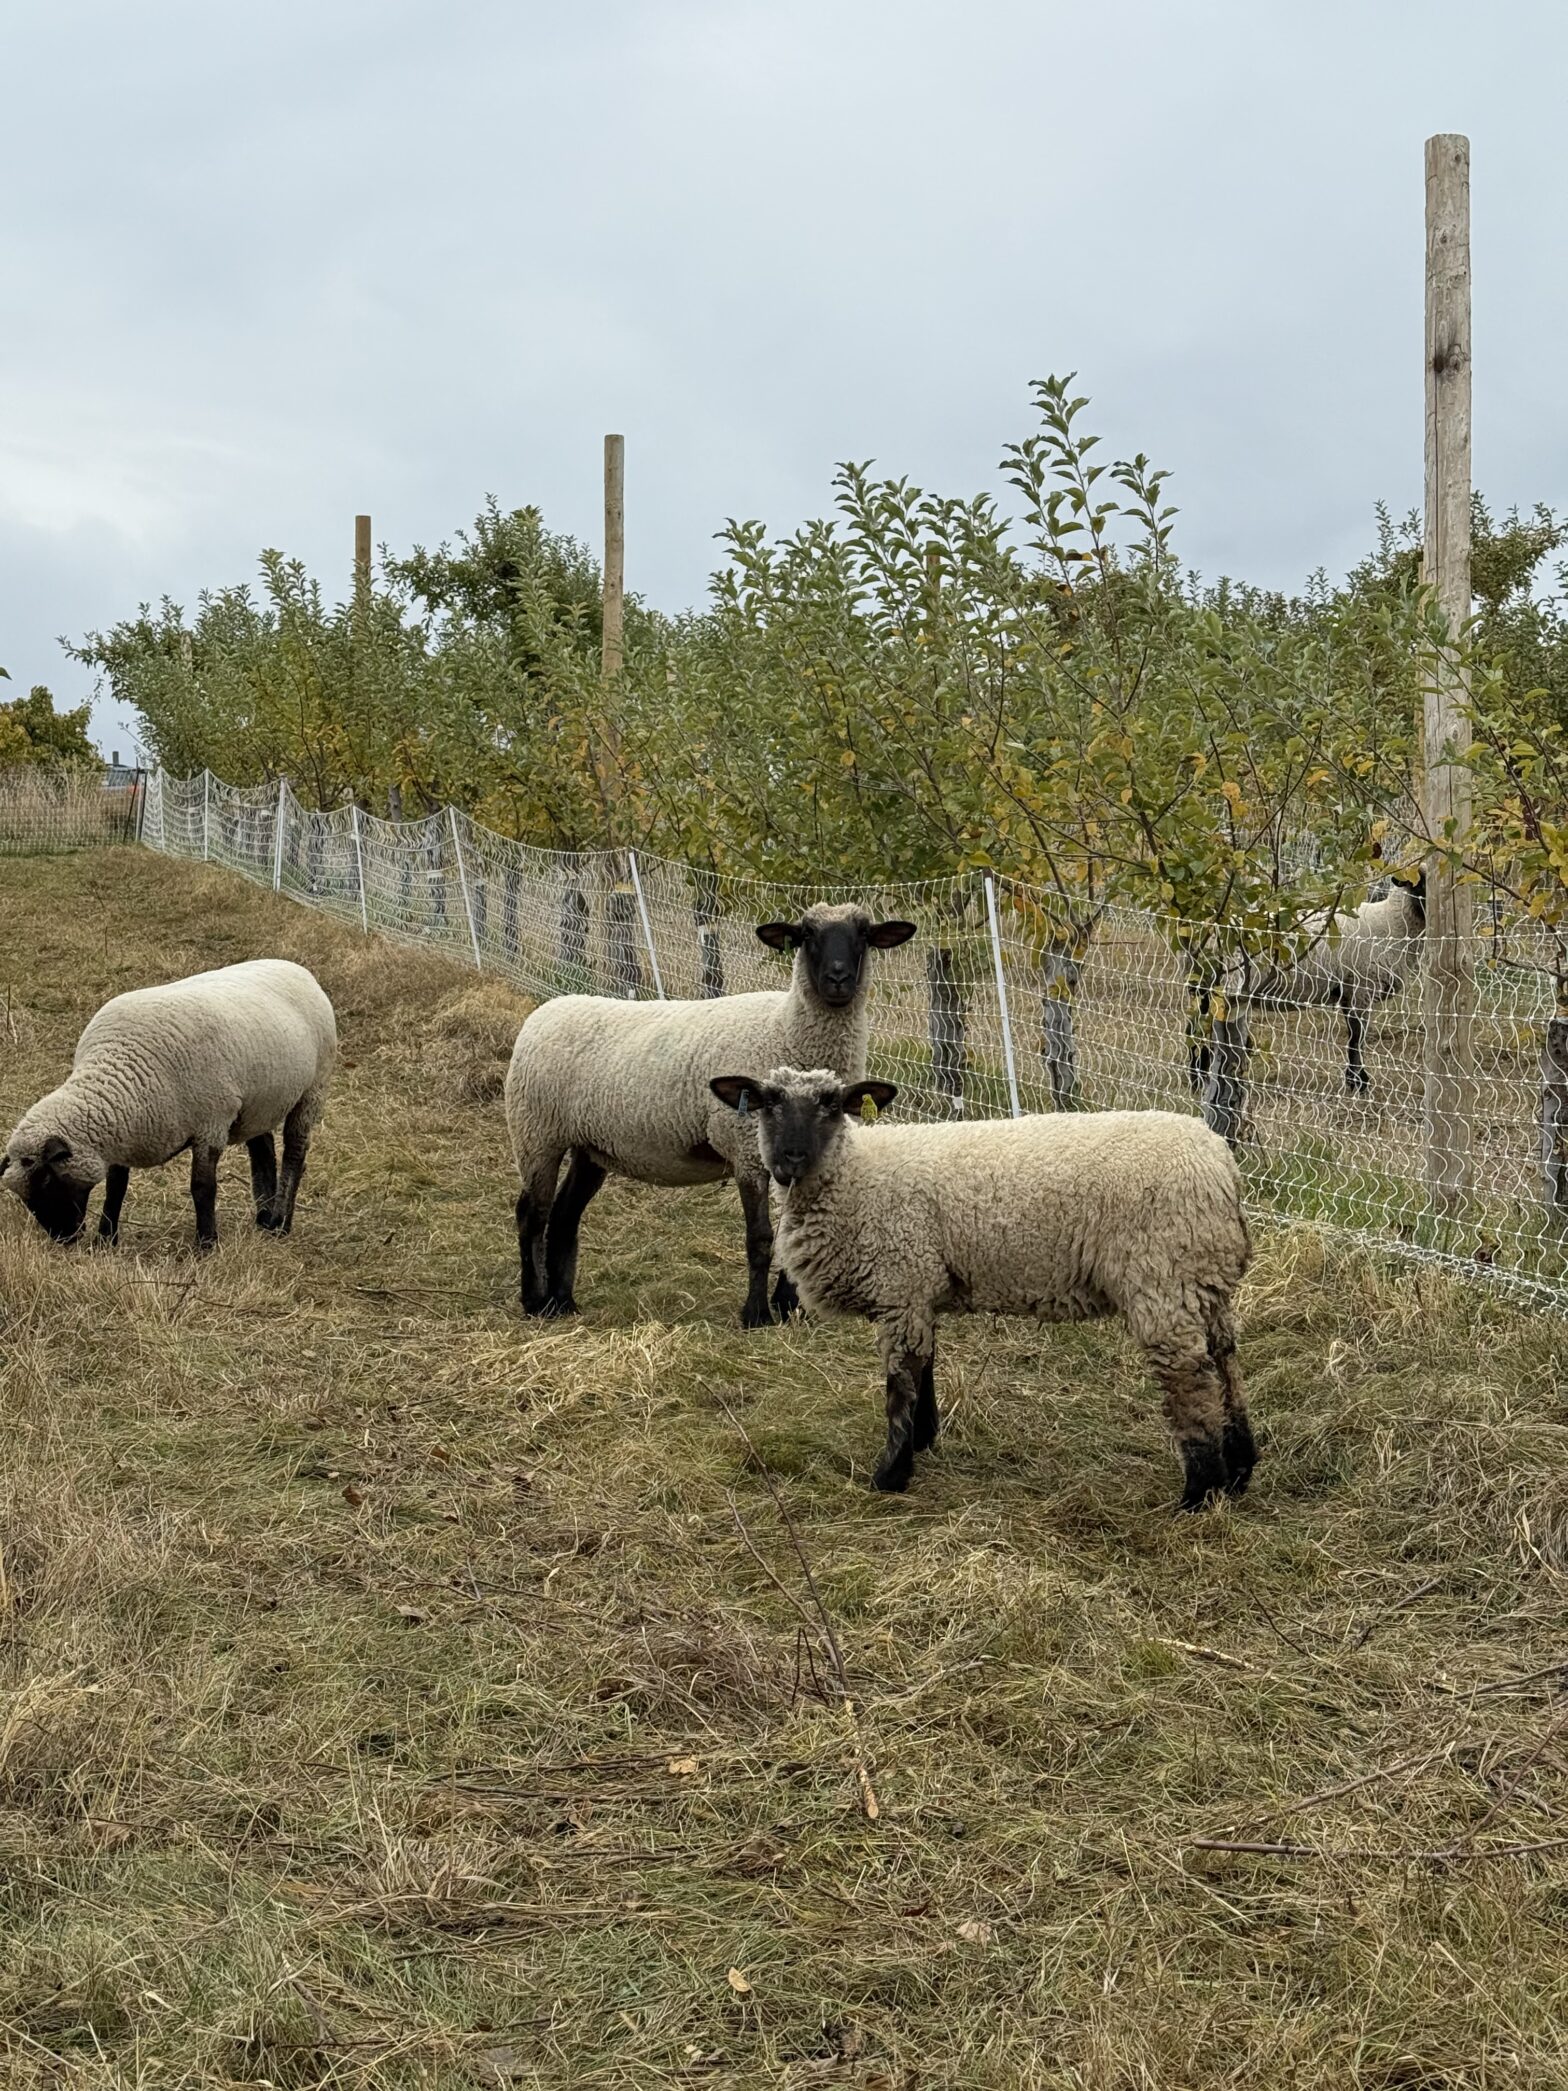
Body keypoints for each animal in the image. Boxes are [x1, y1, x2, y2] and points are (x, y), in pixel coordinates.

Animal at [1, 959, 336, 1253]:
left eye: (46, 1179)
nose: (64, 1238)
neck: (124, 1072)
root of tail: (297, 969)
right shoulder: (122, 1131)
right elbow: (116, 1186)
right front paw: (106, 1241)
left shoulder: (211, 1123)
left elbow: (202, 1187)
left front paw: (206, 1246)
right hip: (258, 1103)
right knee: (263, 1149)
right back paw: (264, 1219)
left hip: (312, 1089)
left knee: (294, 1153)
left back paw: (281, 1223)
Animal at [504, 903, 916, 1326]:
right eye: (806, 935)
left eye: (864, 934)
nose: (838, 979)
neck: (785, 1029)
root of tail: (545, 1011)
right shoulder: (748, 1150)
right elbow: (761, 1238)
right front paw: (757, 1315)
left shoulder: (806, 1156)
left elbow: (792, 1233)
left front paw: (789, 1308)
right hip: (536, 1132)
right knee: (532, 1212)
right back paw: (535, 1301)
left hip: (590, 1145)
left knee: (564, 1214)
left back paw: (563, 1303)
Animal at [709, 1066, 1254, 1510]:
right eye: (768, 1102)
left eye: (831, 1104)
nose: (790, 1159)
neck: (853, 1176)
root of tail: (1222, 1167)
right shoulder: (920, 1287)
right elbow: (924, 1367)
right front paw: (923, 1441)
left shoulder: (902, 1282)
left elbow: (899, 1383)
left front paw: (890, 1474)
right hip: (1200, 1280)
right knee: (1226, 1362)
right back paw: (1241, 1471)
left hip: (1161, 1279)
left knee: (1191, 1380)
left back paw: (1199, 1493)